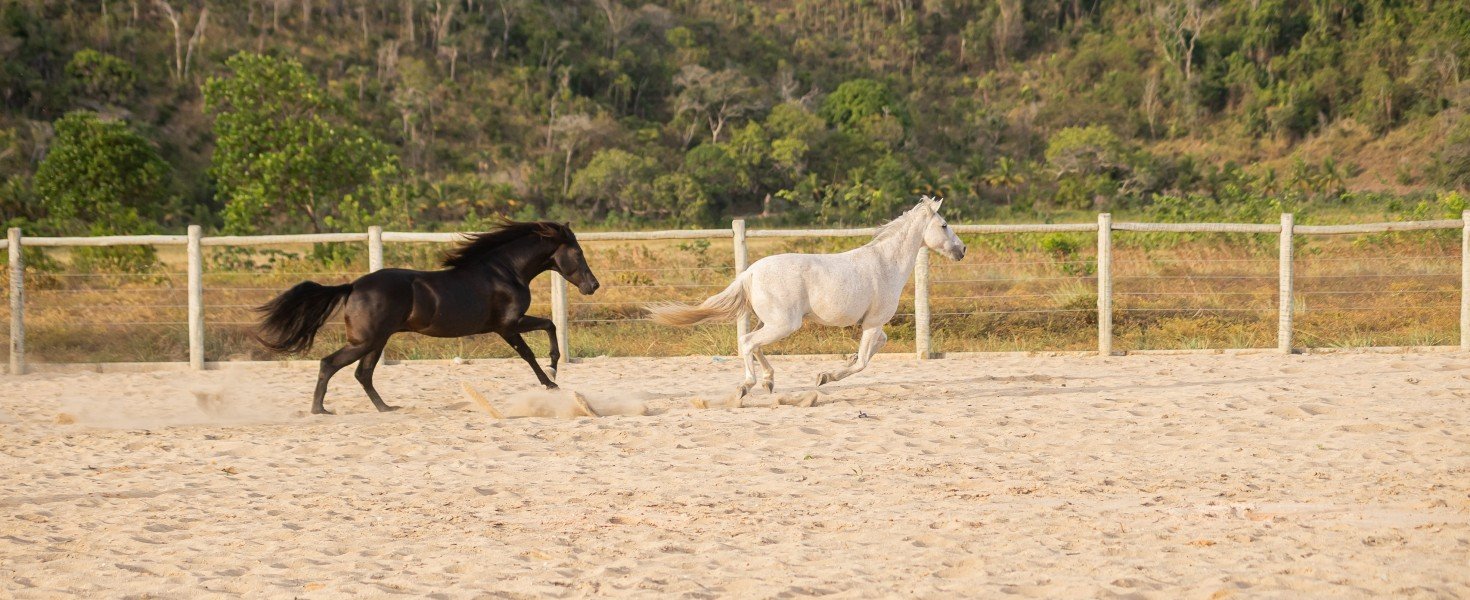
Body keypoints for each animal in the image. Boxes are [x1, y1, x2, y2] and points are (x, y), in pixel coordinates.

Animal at [255, 220, 599, 411]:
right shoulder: (507, 325)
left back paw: (386, 409)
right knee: (330, 364)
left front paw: (552, 375)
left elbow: (544, 332)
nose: (593, 286)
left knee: (362, 374)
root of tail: (352, 286)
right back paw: (320, 410)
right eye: (578, 253)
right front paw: (552, 377)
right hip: (365, 341)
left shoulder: (508, 326)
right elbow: (537, 341)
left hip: (376, 341)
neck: (505, 271)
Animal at [649, 194, 970, 397]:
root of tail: (749, 273)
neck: (885, 263)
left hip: (772, 322)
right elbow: (863, 361)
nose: (962, 250)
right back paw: (747, 386)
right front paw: (824, 377)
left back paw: (768, 382)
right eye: (944, 225)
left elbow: (875, 349)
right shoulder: (872, 322)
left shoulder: (873, 325)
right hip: (784, 324)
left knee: (755, 345)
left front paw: (834, 368)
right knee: (748, 342)